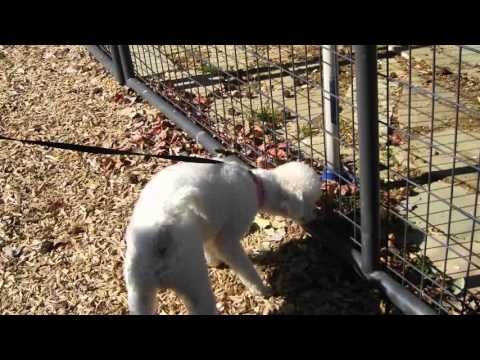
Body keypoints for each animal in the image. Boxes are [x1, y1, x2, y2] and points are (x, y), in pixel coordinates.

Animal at [123, 159, 322, 314]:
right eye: (313, 202)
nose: (315, 217)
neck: (256, 184)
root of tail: (160, 236)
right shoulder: (228, 237)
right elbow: (243, 267)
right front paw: (262, 290)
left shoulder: (211, 229)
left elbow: (210, 248)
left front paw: (214, 262)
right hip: (194, 283)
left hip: (139, 291)